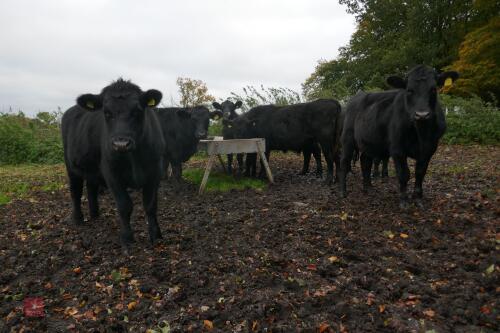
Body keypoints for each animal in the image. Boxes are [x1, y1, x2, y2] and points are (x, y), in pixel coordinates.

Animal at [61, 79, 165, 250]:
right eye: (106, 112)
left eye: (137, 111)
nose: (120, 144)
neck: (134, 158)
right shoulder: (111, 174)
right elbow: (124, 205)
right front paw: (127, 239)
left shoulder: (155, 172)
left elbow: (150, 205)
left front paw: (156, 236)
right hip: (71, 166)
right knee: (75, 191)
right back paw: (78, 219)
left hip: (92, 168)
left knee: (91, 187)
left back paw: (95, 215)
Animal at [338, 65, 458, 206]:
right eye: (409, 90)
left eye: (433, 89)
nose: (422, 114)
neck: (421, 134)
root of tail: (359, 95)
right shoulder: (397, 149)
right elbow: (404, 174)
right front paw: (404, 200)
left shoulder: (429, 149)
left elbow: (420, 173)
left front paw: (418, 199)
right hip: (348, 138)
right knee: (344, 162)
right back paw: (343, 192)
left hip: (368, 141)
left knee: (365, 161)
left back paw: (368, 188)